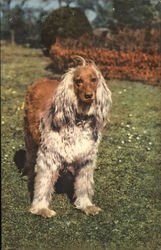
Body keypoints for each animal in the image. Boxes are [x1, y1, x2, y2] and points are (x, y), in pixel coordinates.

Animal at [23, 56, 111, 217]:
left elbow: (83, 185)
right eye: (78, 81)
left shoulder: (86, 160)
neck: (79, 121)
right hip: (29, 137)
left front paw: (86, 205)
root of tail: (42, 80)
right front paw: (41, 208)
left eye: (94, 79)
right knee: (30, 159)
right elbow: (43, 184)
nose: (89, 95)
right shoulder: (48, 156)